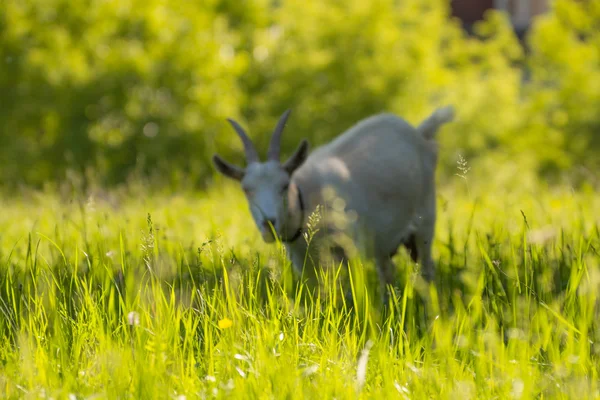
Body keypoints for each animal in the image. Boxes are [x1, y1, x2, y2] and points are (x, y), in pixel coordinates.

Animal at [213, 106, 452, 304]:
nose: (268, 223)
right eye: (246, 189)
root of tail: (420, 133)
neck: (305, 202)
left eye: (284, 185)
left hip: (425, 221)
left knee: (426, 270)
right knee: (387, 271)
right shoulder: (305, 264)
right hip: (384, 241)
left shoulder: (351, 248)